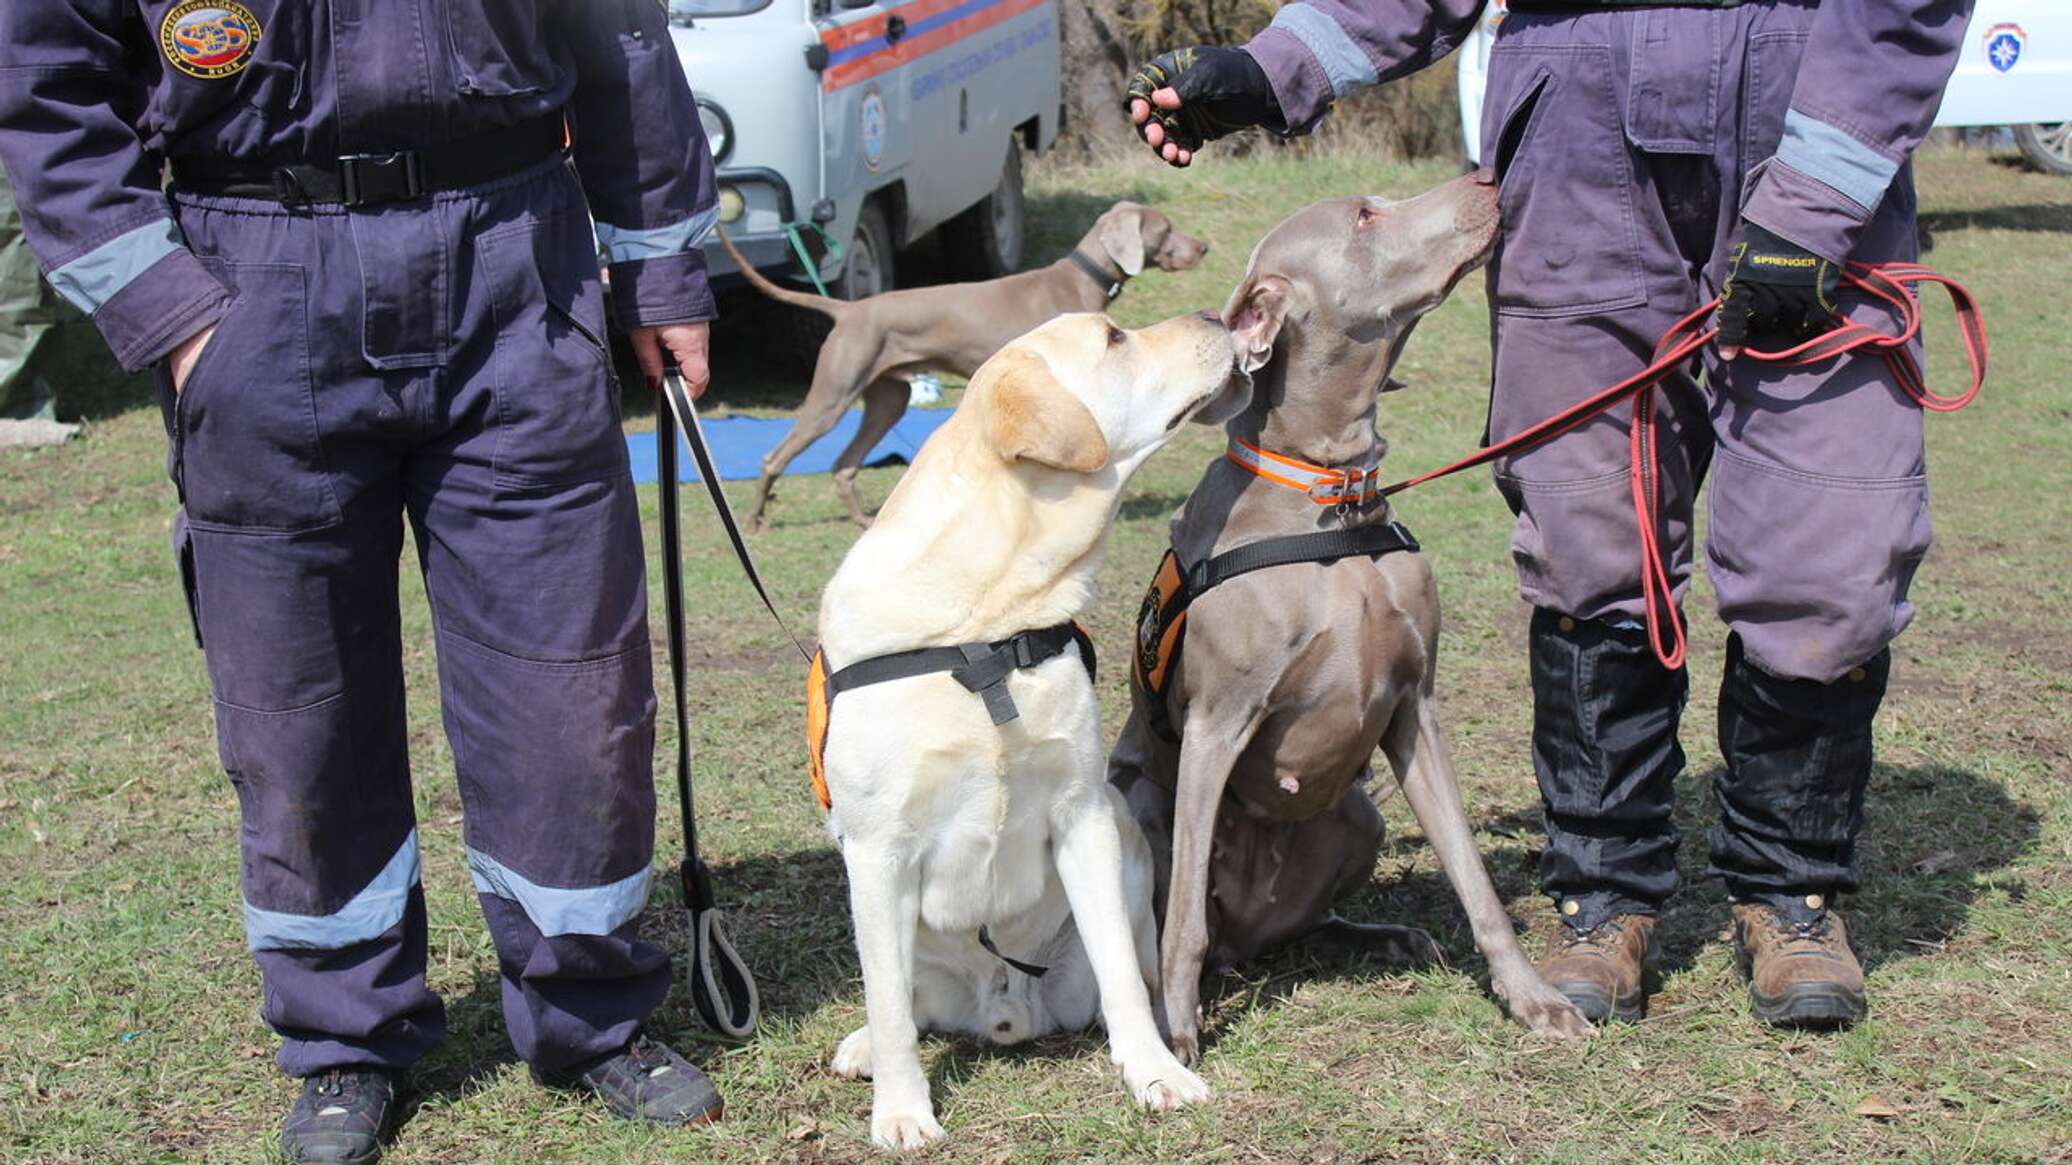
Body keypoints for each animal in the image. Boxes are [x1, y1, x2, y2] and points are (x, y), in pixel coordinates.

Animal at [729, 202, 1210, 528]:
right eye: (1166, 228)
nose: (1204, 247)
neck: (1078, 279)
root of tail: (848, 310)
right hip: (833, 395)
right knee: (774, 457)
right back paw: (756, 521)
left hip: (888, 399)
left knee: (844, 464)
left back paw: (864, 521)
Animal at [808, 306, 1243, 1144]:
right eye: (1113, 336)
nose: (1216, 313)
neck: (985, 628)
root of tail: (1007, 1012)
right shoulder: (877, 848)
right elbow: (889, 1002)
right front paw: (903, 1112)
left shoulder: (1082, 812)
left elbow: (1119, 972)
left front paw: (1156, 1073)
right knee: (901, 1000)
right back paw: (865, 1046)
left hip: (1126, 834)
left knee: (1134, 964)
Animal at [1110, 172, 1591, 1061]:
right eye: (1366, 216)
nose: (1486, 175)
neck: (1329, 492)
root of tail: (1245, 940)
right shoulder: (1214, 725)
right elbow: (1182, 918)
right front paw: (1178, 1032)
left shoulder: (1416, 707)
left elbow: (1476, 880)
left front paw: (1533, 998)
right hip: (1140, 803)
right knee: (1185, 922)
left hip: (1360, 815)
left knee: (1302, 926)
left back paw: (1381, 935)